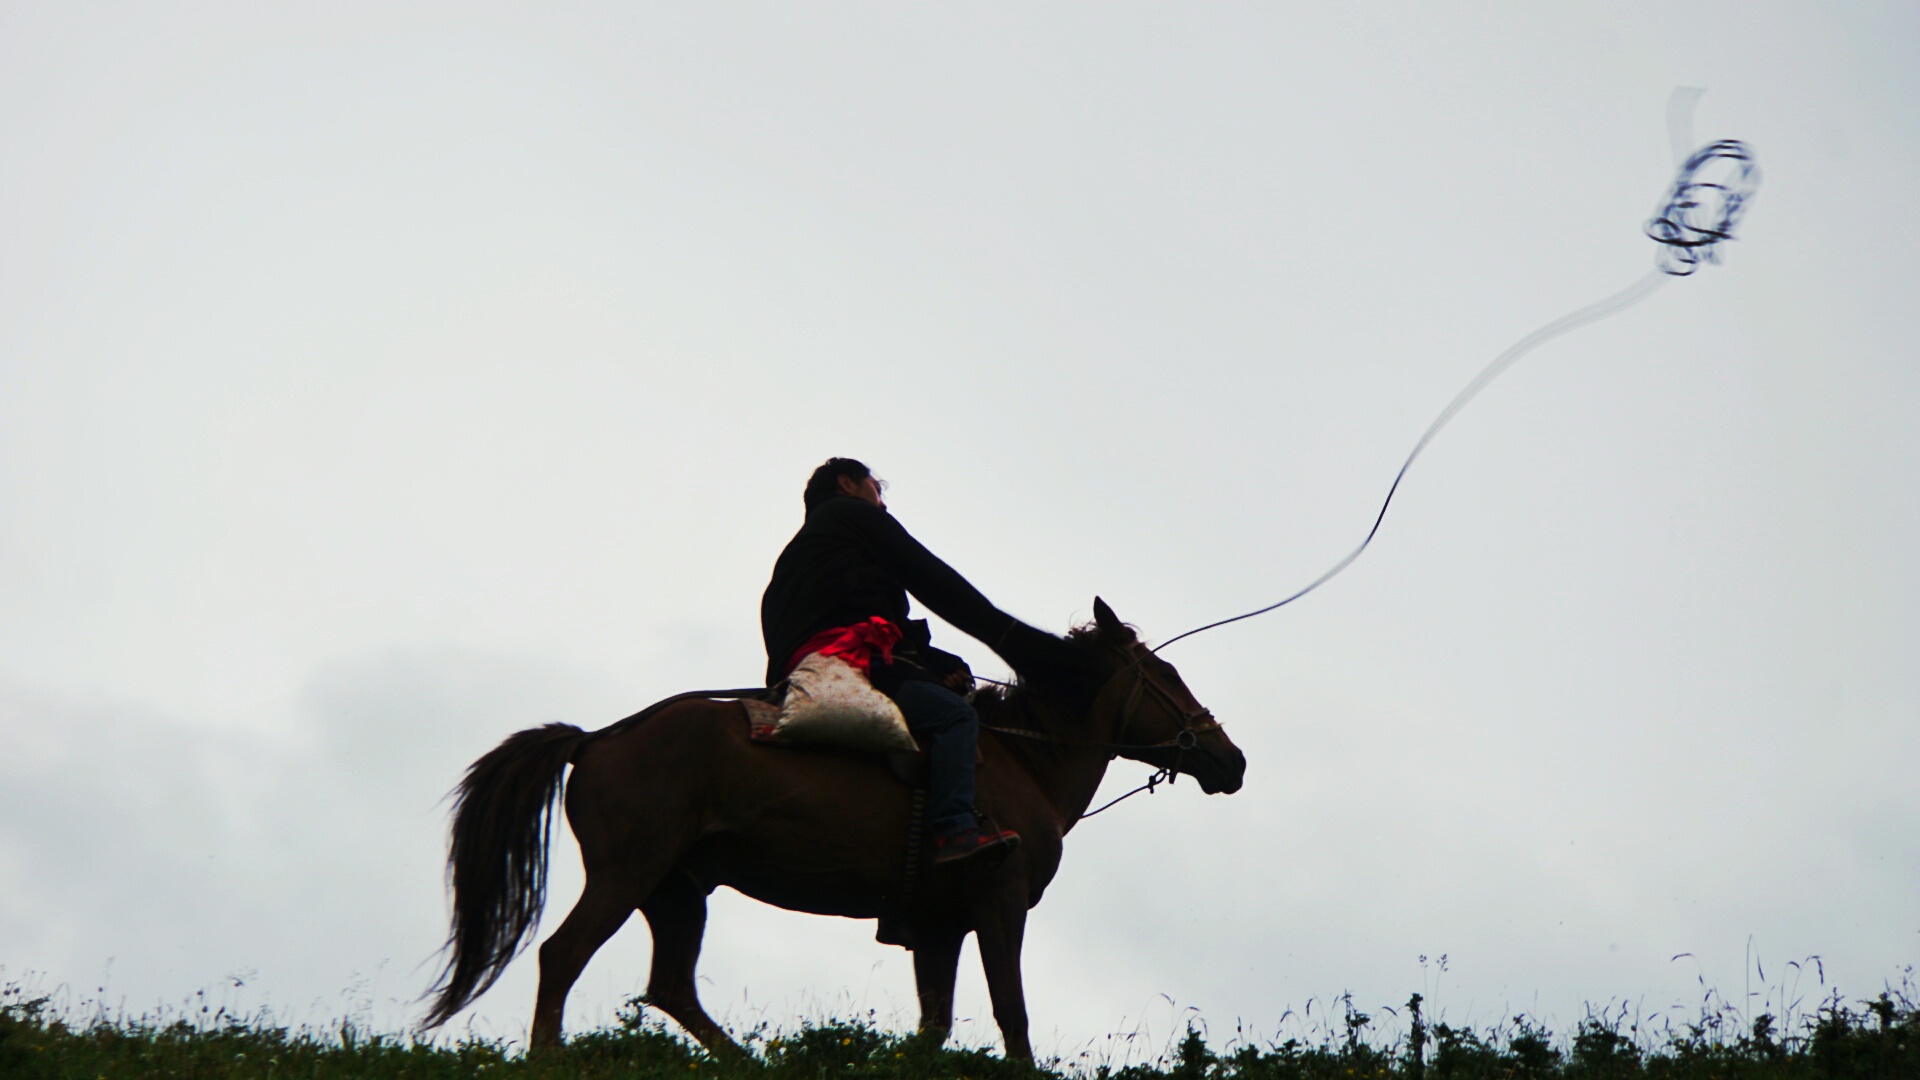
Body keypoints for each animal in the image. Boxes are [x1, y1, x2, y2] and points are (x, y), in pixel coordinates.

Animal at [420, 595, 1244, 1060]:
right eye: (1166, 679)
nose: (1229, 759)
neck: (1021, 759)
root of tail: (597, 738)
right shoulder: (997, 903)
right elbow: (1011, 1014)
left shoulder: (938, 925)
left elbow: (934, 1028)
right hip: (628, 873)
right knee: (563, 957)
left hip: (676, 890)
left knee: (672, 987)